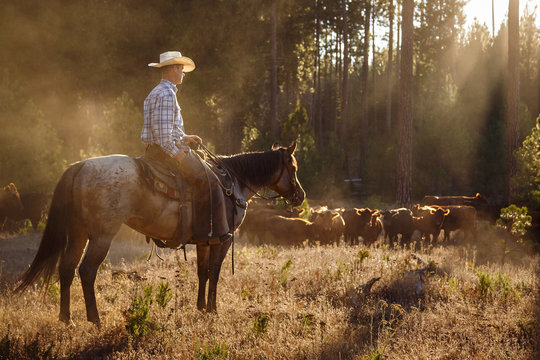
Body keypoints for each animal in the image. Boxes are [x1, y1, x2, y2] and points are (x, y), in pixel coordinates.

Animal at [15, 143, 304, 326]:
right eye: (293, 168)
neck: (232, 184)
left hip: (78, 233)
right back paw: (95, 320)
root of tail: (80, 166)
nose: (300, 196)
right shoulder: (224, 239)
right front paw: (213, 310)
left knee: (66, 268)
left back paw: (67, 319)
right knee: (86, 271)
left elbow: (202, 272)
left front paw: (200, 308)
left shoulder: (205, 240)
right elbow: (214, 272)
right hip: (101, 235)